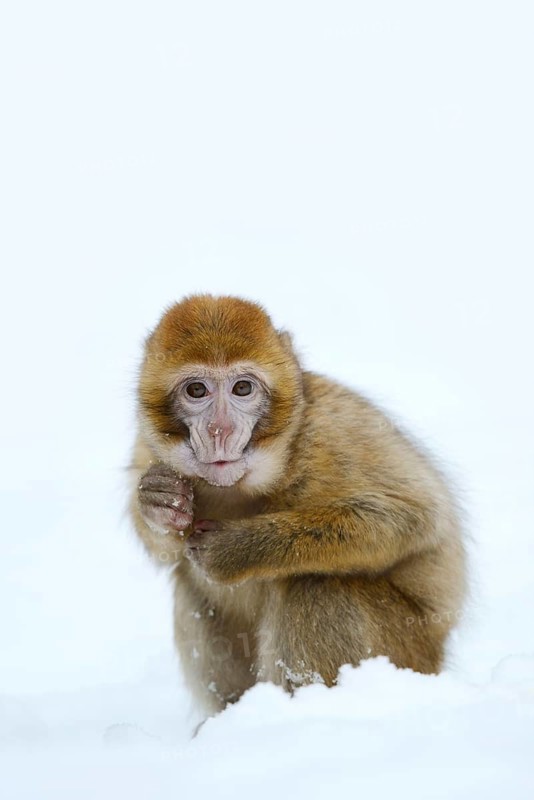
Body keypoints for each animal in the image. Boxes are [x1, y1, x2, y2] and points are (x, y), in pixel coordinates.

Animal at [129, 294, 466, 715]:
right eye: (197, 390)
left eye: (242, 387)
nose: (220, 430)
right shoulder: (148, 444)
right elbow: (167, 547)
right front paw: (156, 502)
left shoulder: (331, 433)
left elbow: (414, 517)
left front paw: (237, 549)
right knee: (190, 585)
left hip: (407, 650)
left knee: (316, 586)